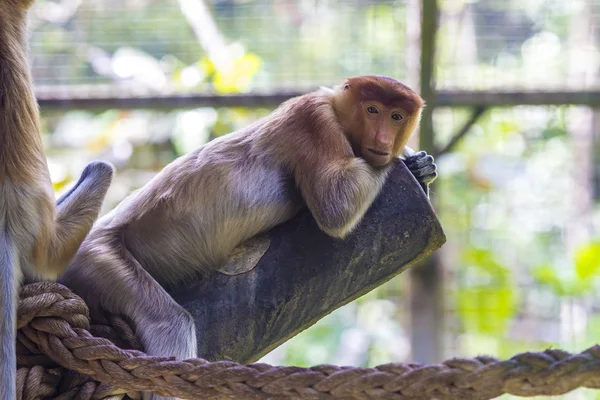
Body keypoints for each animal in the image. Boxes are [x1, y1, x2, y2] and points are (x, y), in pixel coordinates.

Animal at [59, 75, 436, 400]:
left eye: (396, 116)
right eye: (372, 110)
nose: (384, 142)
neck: (337, 111)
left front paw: (421, 166)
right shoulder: (314, 119)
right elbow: (335, 205)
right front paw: (408, 161)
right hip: (99, 255)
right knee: (170, 323)